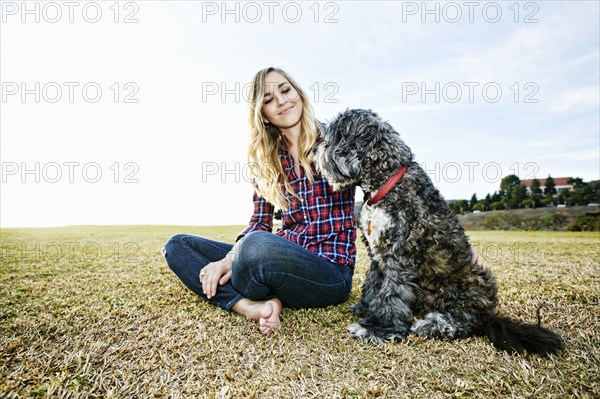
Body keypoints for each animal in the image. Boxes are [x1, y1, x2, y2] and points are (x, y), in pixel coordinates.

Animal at [316, 107, 564, 356]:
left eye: (334, 136)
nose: (317, 149)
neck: (386, 182)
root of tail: (489, 315)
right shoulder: (378, 255)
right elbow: (373, 285)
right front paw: (366, 310)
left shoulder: (398, 256)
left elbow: (390, 293)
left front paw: (378, 329)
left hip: (473, 285)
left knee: (466, 321)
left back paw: (435, 324)